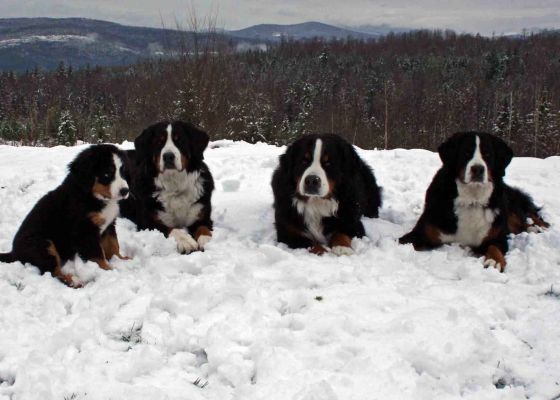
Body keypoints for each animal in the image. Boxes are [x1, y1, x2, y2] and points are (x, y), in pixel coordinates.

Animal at [0, 145, 131, 286]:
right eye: (106, 173)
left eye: (123, 172)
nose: (125, 191)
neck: (93, 196)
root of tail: (14, 253)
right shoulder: (84, 230)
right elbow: (97, 254)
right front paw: (108, 270)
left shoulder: (109, 224)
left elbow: (113, 245)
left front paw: (122, 260)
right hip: (43, 245)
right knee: (52, 271)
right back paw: (73, 280)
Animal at [120, 120, 214, 255]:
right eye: (159, 142)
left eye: (180, 141)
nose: (168, 156)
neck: (174, 185)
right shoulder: (148, 222)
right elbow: (172, 229)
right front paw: (186, 241)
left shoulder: (202, 215)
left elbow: (203, 228)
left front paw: (207, 241)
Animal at [400, 131, 548, 272]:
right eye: (466, 153)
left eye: (487, 154)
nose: (478, 169)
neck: (472, 199)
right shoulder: (420, 234)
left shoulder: (496, 236)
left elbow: (494, 247)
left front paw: (494, 261)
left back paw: (537, 228)